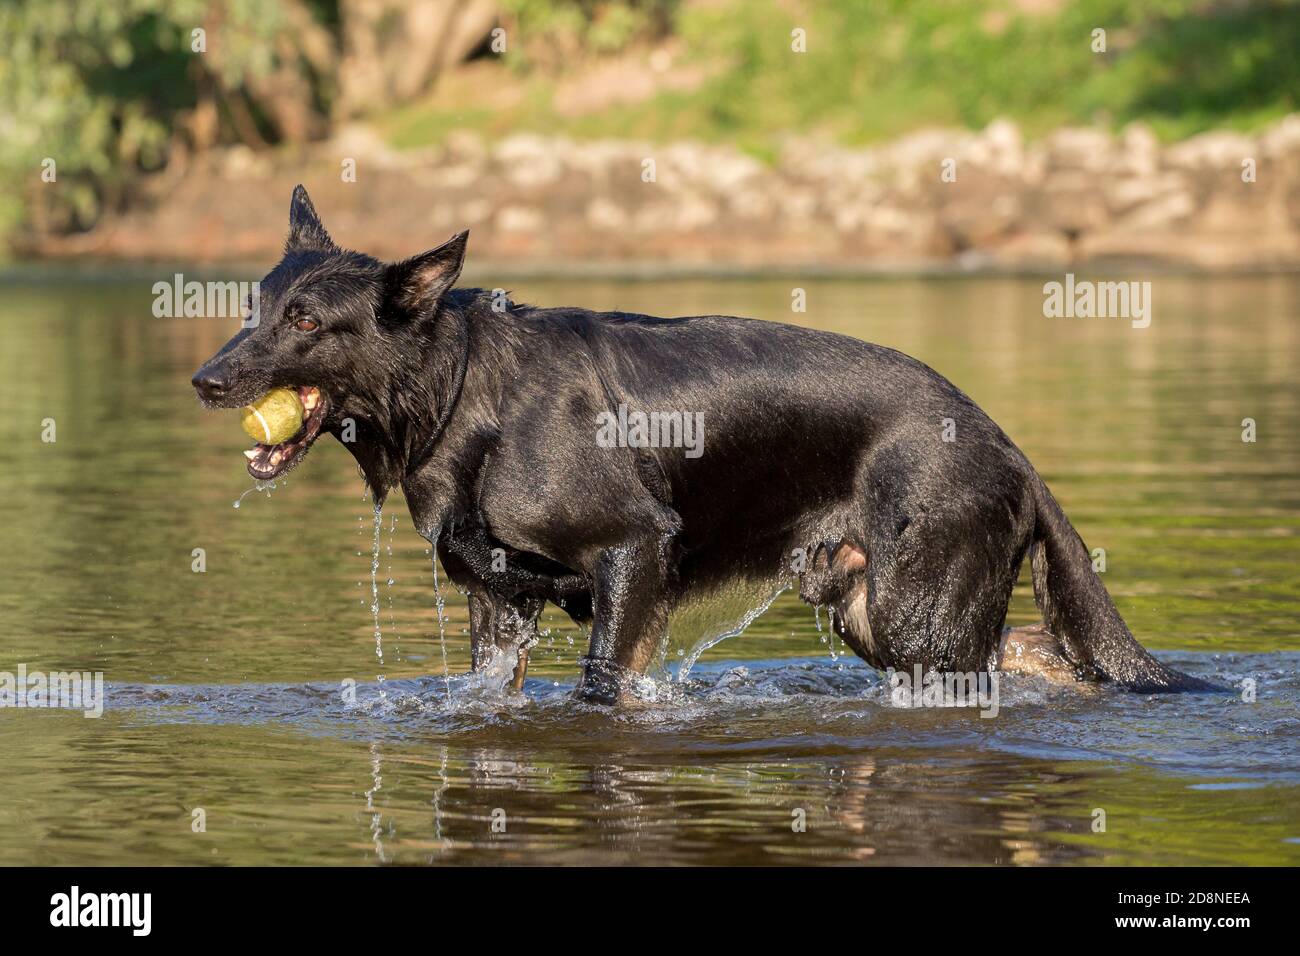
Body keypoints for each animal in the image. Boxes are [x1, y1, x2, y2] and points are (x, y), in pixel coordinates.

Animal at [195, 188, 1216, 702]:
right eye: (253, 309)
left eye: (305, 321)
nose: (206, 381)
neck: (457, 397)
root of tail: (1014, 452)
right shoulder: (497, 603)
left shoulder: (633, 554)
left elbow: (605, 684)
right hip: (878, 615)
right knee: (1048, 654)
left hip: (919, 622)